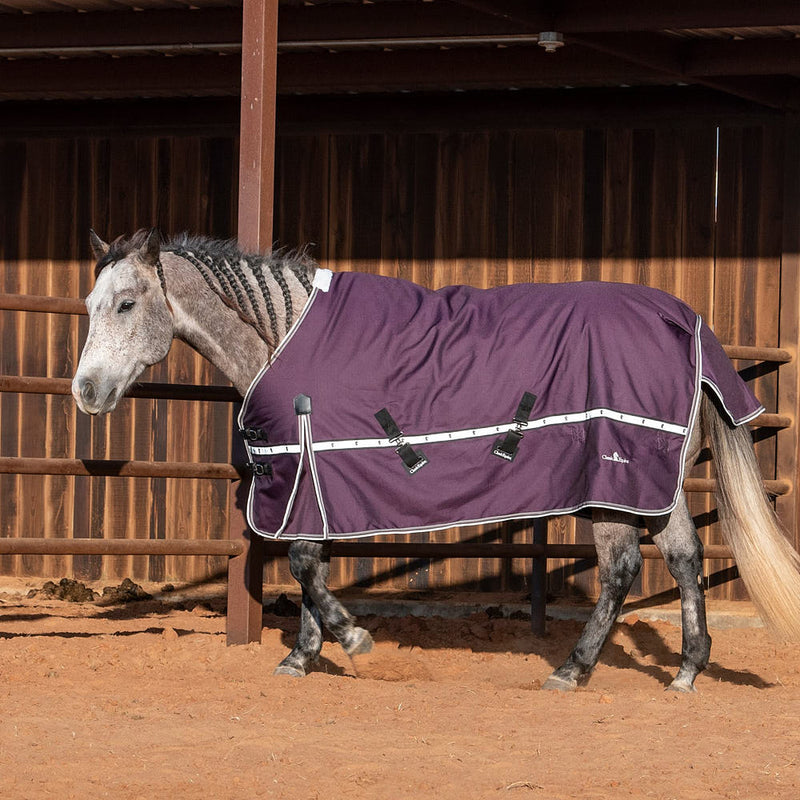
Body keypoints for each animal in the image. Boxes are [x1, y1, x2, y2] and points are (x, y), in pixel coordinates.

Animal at [72, 228, 800, 692]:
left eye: (127, 304)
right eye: (89, 305)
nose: (84, 391)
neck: (287, 335)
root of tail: (683, 320)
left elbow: (305, 564)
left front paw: (354, 644)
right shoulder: (315, 473)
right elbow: (309, 562)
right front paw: (303, 659)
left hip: (611, 483)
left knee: (622, 568)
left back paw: (572, 670)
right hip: (653, 477)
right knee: (683, 557)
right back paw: (686, 671)